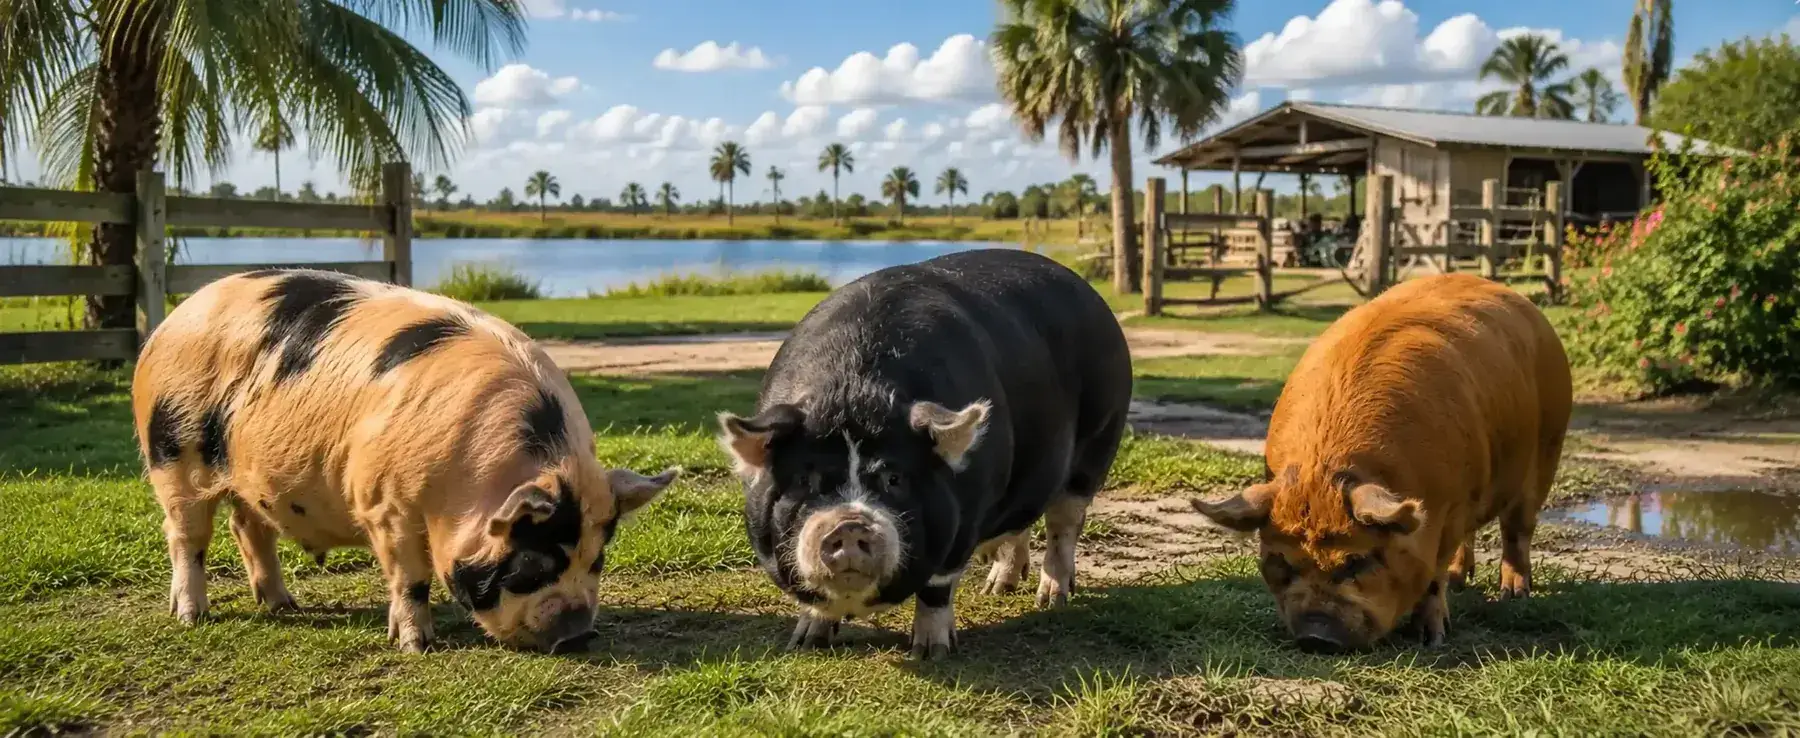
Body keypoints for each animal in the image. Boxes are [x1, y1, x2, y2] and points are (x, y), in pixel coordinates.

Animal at [130, 268, 678, 653]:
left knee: (249, 527)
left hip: (248, 476)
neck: (466, 485)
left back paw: (284, 607)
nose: (579, 635)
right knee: (185, 536)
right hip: (171, 454)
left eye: (598, 557)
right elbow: (410, 576)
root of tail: (170, 322)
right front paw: (417, 646)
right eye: (531, 561)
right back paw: (192, 616)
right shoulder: (384, 503)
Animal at [716, 248, 1133, 659]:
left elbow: (936, 589)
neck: (854, 388)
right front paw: (805, 643)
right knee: (1023, 521)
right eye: (805, 479)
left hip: (1099, 439)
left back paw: (1050, 600)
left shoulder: (963, 519)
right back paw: (998, 588)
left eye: (894, 478)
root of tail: (1088, 292)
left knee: (1065, 521)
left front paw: (930, 653)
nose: (849, 525)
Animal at [1189, 273, 1572, 651]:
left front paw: (1431, 640)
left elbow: (1433, 576)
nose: (1316, 637)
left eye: (1358, 561)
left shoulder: (1453, 507)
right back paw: (1460, 582)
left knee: (1517, 529)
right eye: (1282, 561)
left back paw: (1514, 595)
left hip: (1549, 446)